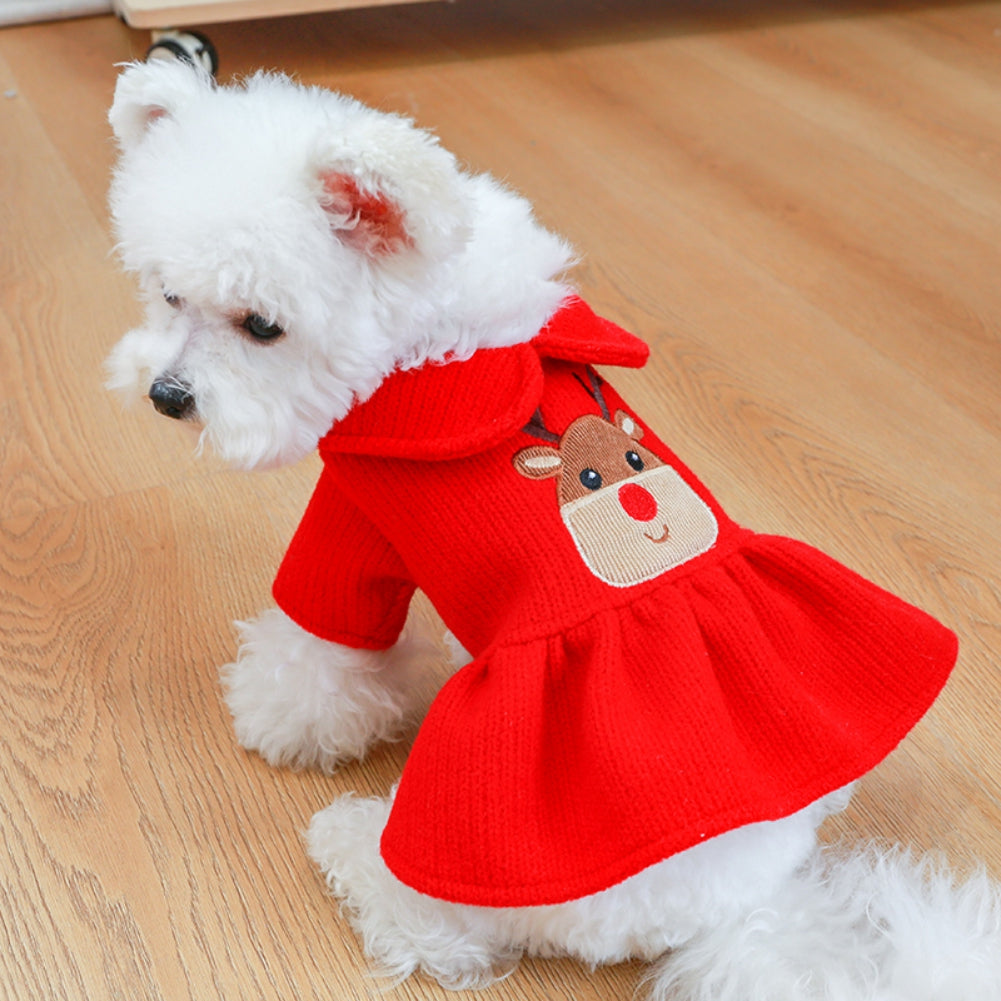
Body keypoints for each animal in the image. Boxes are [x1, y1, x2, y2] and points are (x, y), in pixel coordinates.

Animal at [107, 62, 1001, 1001]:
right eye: (167, 292)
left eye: (261, 326)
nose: (167, 396)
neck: (438, 334)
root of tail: (745, 909)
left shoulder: (352, 523)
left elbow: (318, 646)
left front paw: (280, 721)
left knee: (438, 926)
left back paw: (355, 849)